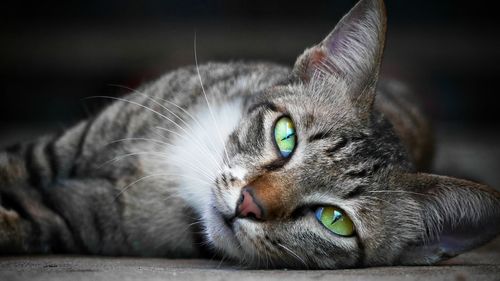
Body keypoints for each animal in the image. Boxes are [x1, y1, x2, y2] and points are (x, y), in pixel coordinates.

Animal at [0, 0, 500, 268]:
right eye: (286, 136)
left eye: (334, 220)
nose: (248, 203)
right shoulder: (58, 150)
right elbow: (16, 163)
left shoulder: (75, 220)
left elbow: (33, 221)